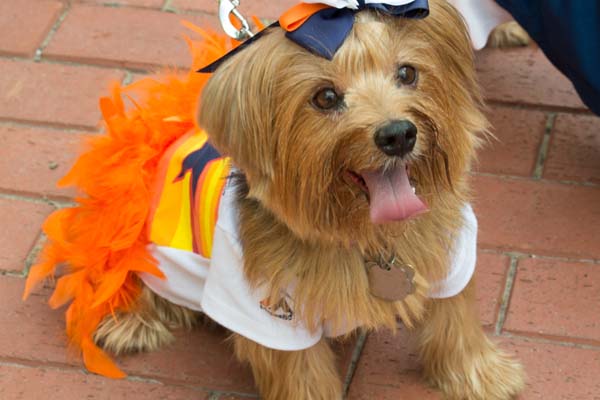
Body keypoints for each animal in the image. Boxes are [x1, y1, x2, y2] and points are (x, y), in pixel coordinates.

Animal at [25, 0, 528, 400]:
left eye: (407, 73)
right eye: (325, 97)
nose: (398, 134)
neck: (365, 235)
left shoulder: (451, 260)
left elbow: (454, 325)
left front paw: (481, 377)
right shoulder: (269, 316)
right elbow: (302, 376)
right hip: (159, 257)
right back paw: (132, 322)